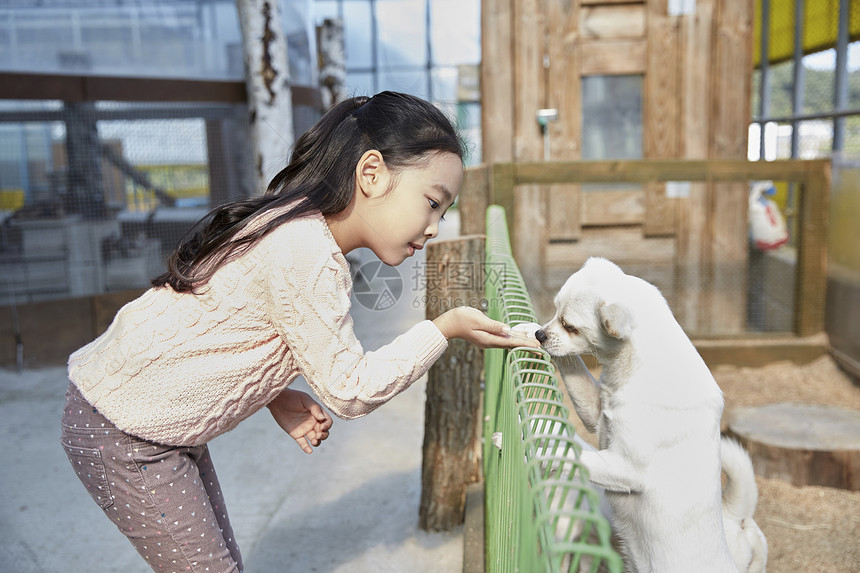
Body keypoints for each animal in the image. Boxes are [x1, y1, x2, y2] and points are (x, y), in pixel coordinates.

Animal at [524, 260, 764, 572]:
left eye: (570, 326)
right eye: (554, 312)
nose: (541, 334)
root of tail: (736, 516)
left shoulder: (625, 468)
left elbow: (570, 455)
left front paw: (530, 448)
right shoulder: (595, 416)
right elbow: (572, 365)